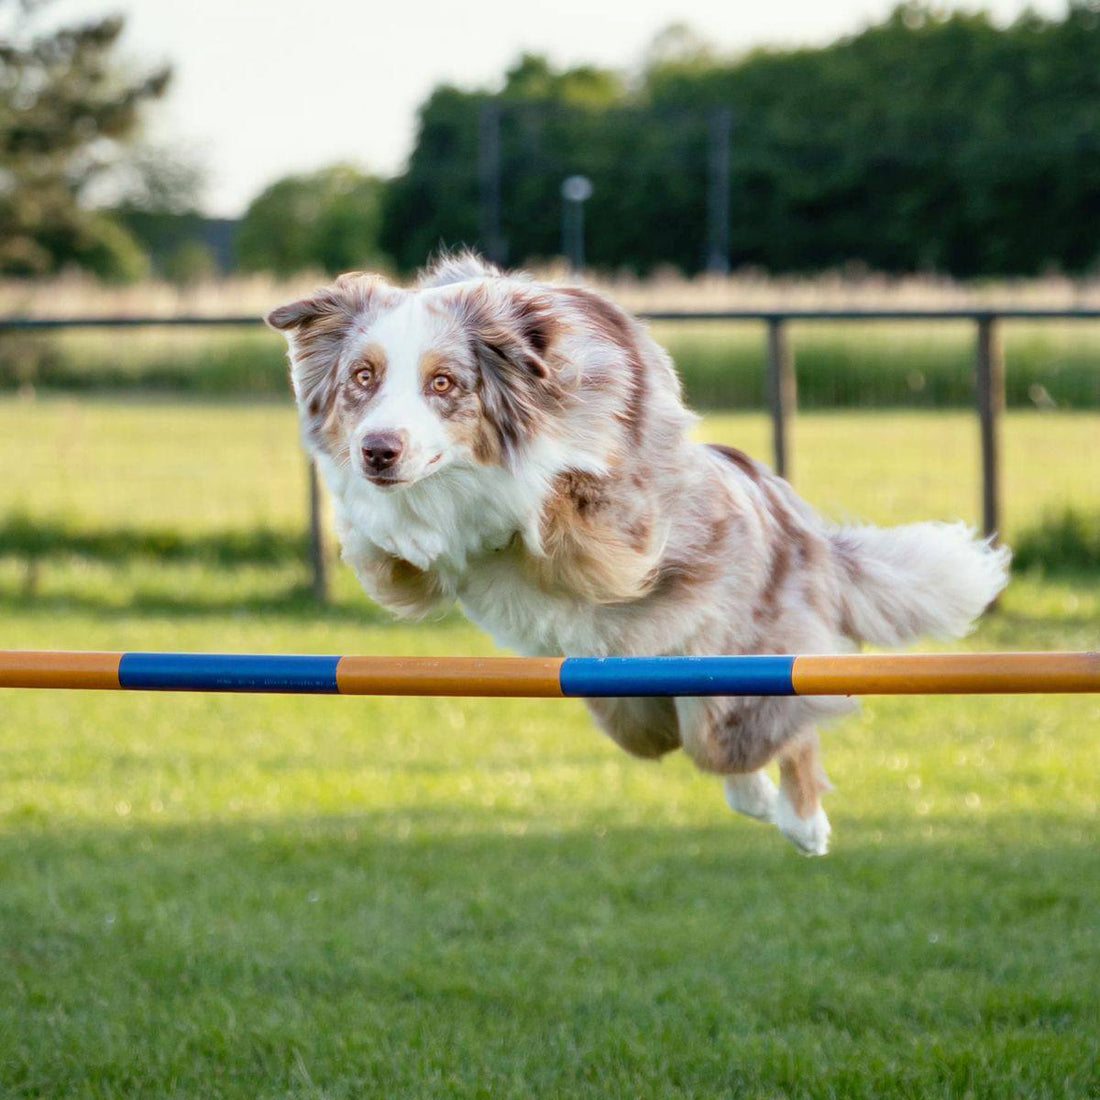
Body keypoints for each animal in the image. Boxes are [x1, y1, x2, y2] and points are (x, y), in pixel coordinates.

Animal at [264, 253, 1007, 853]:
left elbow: (544, 497)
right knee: (713, 752)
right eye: (363, 376)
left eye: (444, 384)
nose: (379, 451)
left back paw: (804, 825)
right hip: (632, 708)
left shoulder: (620, 524)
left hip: (751, 671)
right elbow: (382, 536)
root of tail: (798, 522)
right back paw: (759, 800)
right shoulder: (395, 552)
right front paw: (404, 521)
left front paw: (500, 493)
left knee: (774, 731)